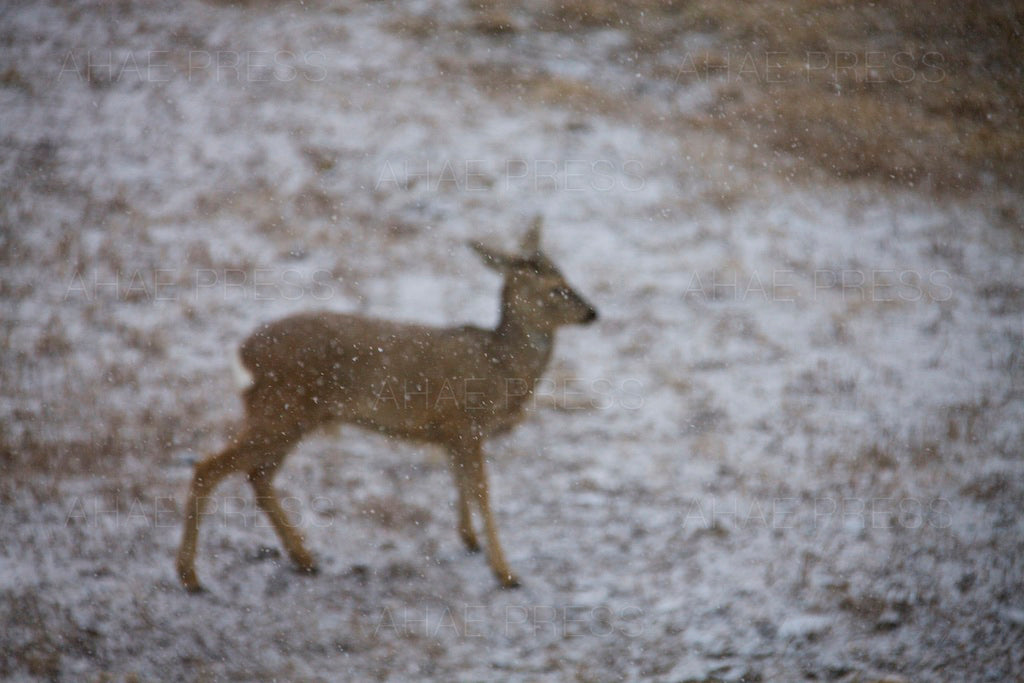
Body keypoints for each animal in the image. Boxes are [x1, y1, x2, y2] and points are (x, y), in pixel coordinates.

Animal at [175, 217, 598, 592]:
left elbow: (460, 481)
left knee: (257, 475)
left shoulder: (452, 433)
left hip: (293, 417)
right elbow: (481, 490)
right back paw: (190, 577)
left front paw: (470, 541)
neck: (501, 365)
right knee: (209, 468)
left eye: (566, 277)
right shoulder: (466, 422)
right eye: (555, 287)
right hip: (280, 410)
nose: (592, 312)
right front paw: (506, 573)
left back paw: (304, 559)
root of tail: (243, 354)